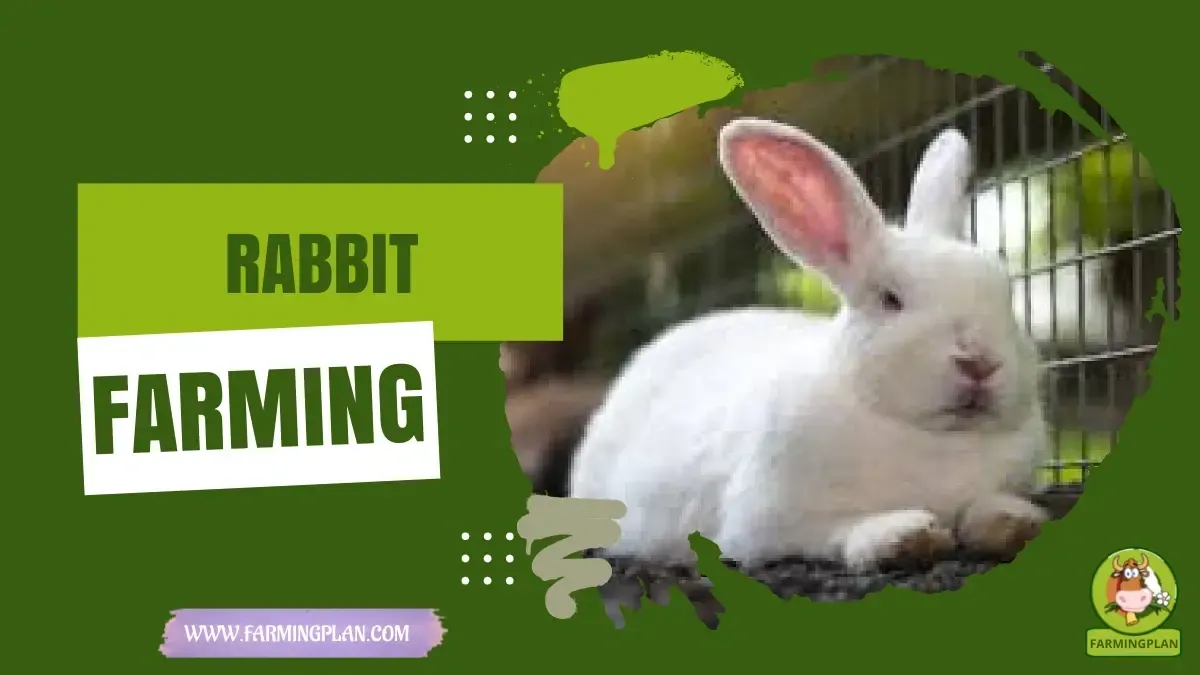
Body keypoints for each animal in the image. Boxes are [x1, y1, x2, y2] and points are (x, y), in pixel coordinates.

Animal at [567, 118, 1051, 572]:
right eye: (890, 299)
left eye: (1006, 295)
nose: (981, 362)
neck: (935, 441)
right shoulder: (768, 522)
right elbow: (836, 529)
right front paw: (902, 535)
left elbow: (986, 508)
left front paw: (1015, 523)